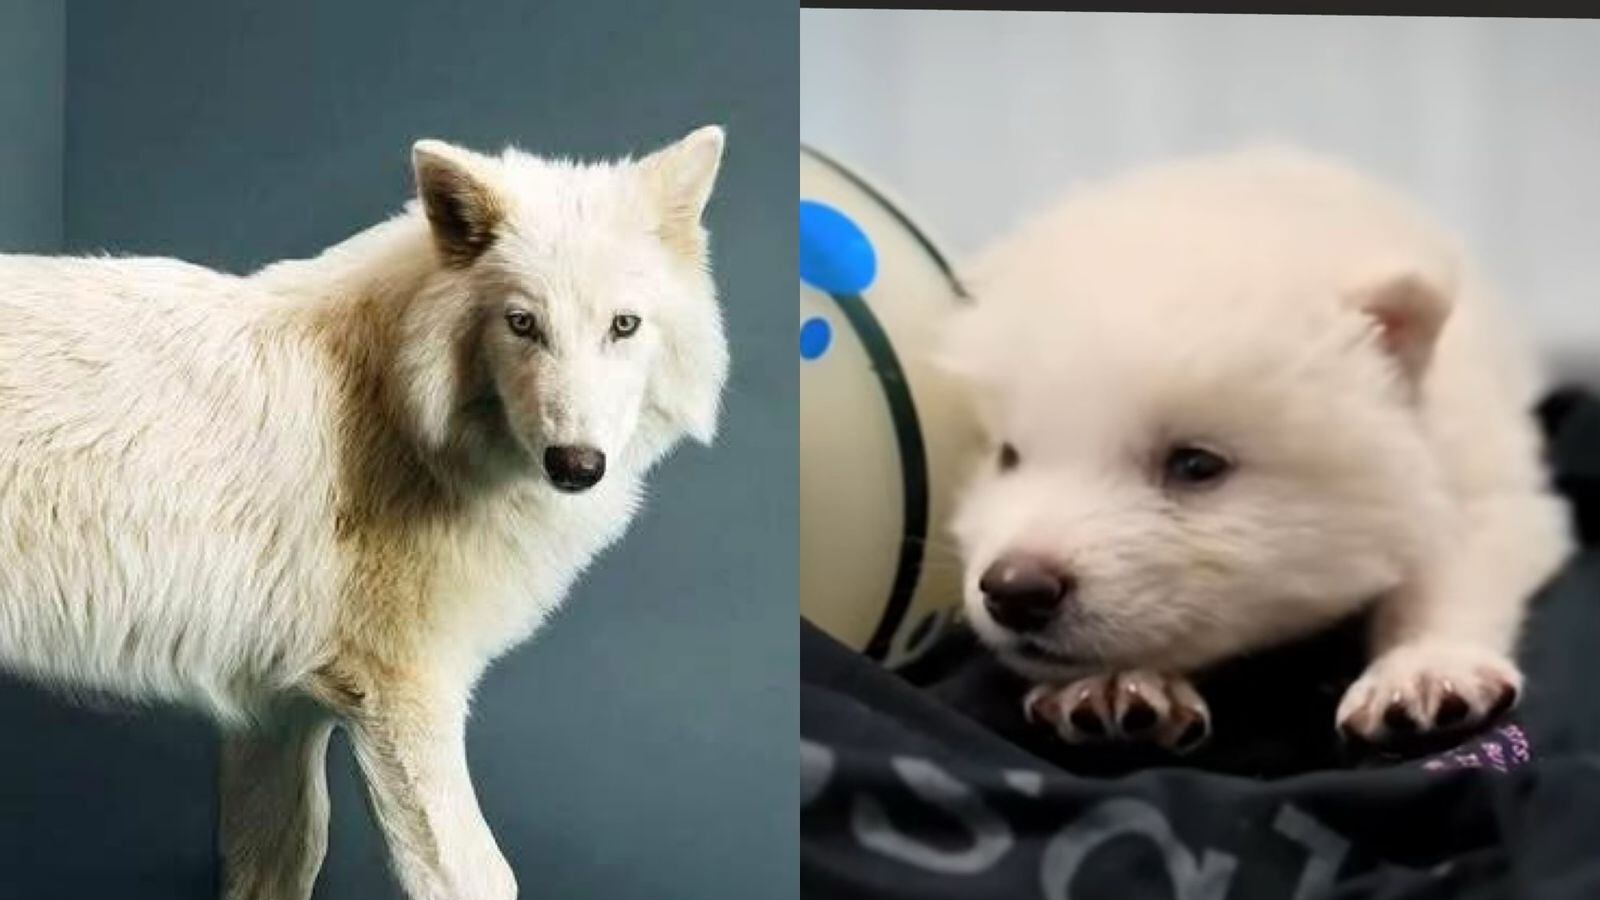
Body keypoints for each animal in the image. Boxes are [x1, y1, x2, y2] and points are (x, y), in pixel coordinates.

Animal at [0, 126, 728, 900]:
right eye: (522, 324)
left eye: (624, 326)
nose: (576, 464)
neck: (400, 411)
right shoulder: (402, 696)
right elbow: (477, 878)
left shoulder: (280, 714)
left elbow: (279, 864)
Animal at [941, 148, 1571, 756]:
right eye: (1009, 455)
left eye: (1196, 463)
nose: (1015, 589)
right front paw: (1109, 686)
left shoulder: (1469, 448)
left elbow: (1469, 546)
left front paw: (1424, 675)